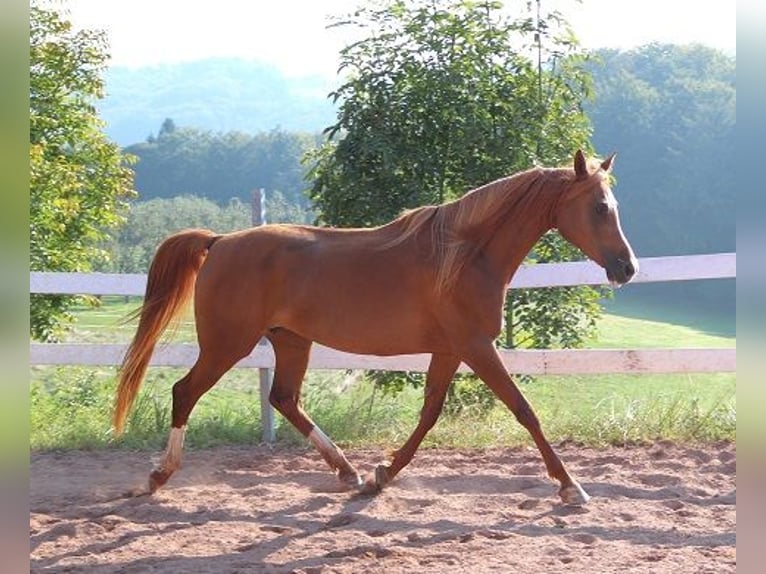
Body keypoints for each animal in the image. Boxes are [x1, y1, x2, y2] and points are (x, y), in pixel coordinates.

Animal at [114, 151, 640, 506]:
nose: (627, 267)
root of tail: (219, 241)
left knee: (284, 398)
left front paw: (380, 474)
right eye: (599, 207)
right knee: (186, 392)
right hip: (229, 344)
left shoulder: (450, 350)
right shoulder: (476, 346)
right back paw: (157, 477)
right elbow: (524, 410)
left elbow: (430, 412)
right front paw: (572, 486)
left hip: (290, 341)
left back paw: (347, 472)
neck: (466, 254)